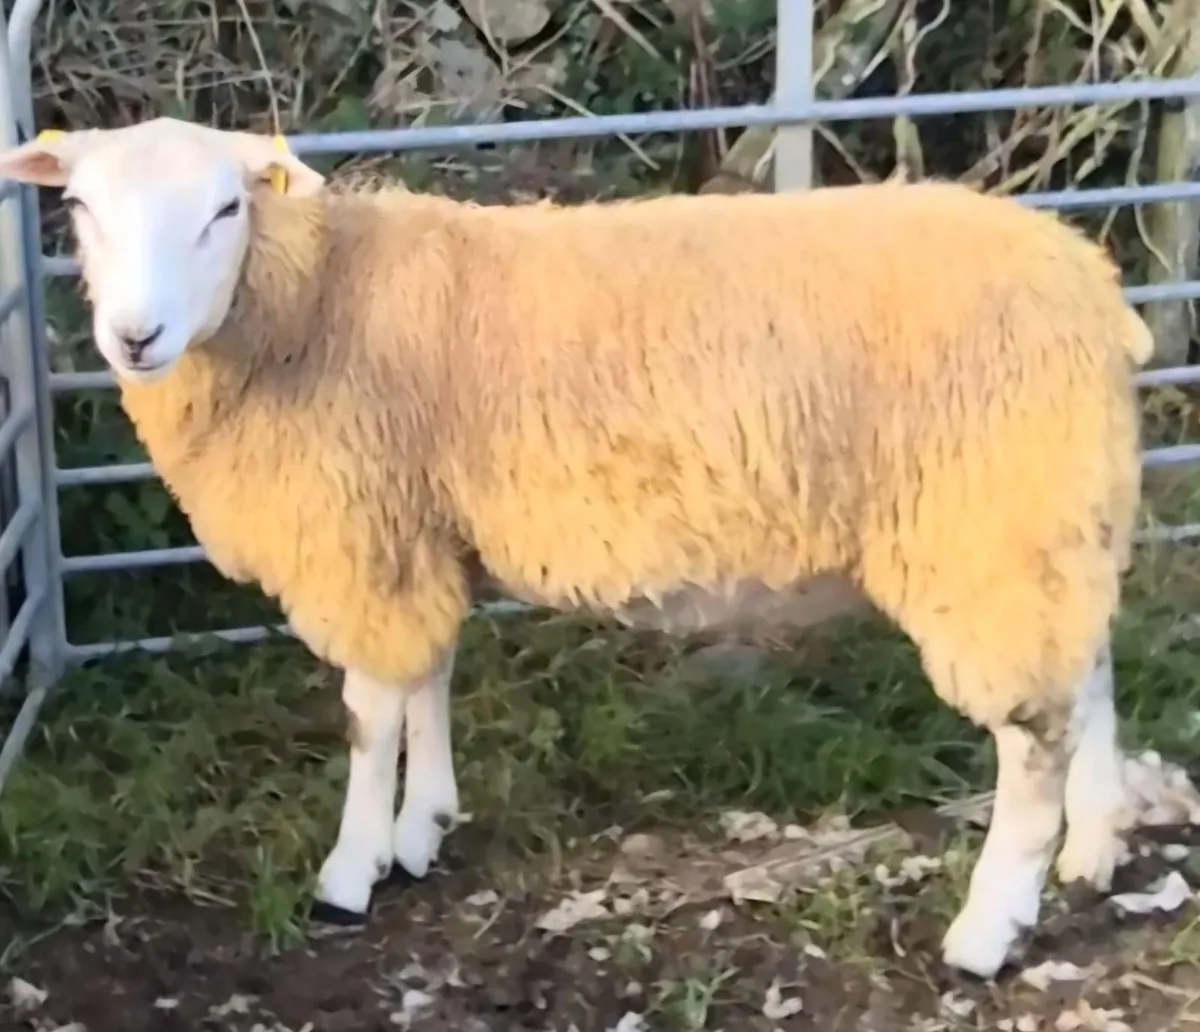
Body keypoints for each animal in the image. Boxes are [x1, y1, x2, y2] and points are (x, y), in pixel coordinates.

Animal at [0, 116, 1153, 981]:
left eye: (226, 210)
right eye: (80, 210)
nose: (134, 338)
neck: (312, 300)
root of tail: (1093, 287)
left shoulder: (365, 535)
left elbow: (371, 716)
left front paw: (351, 869)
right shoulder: (420, 529)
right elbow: (429, 678)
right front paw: (425, 826)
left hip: (985, 521)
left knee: (1034, 737)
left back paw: (990, 927)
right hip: (1050, 508)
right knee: (1090, 666)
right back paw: (1095, 847)